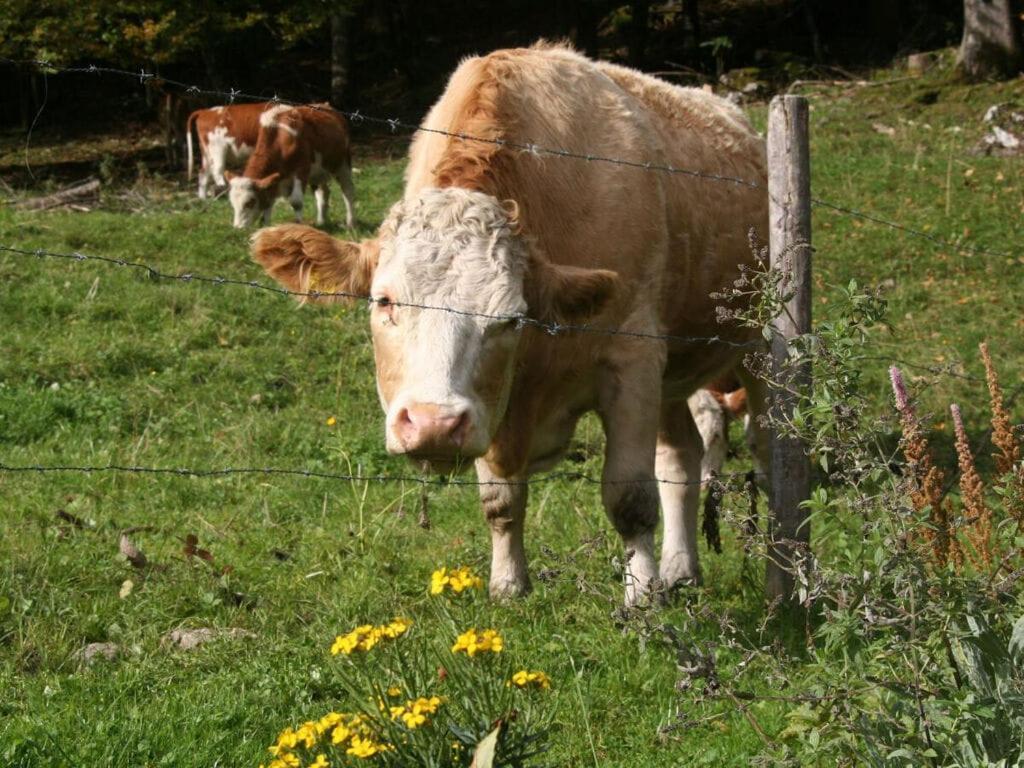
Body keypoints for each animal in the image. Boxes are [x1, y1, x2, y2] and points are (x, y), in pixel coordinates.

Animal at [225, 105, 356, 231]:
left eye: (250, 202)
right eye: (232, 203)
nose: (238, 228)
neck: (280, 138)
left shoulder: (301, 170)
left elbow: (296, 201)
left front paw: (298, 225)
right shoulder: (274, 179)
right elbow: (268, 202)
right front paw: (266, 227)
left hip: (343, 164)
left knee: (348, 190)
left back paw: (350, 223)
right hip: (318, 173)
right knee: (323, 192)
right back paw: (321, 221)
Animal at [247, 43, 765, 606]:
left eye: (510, 317)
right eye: (384, 301)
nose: (432, 423)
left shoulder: (633, 358)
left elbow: (629, 495)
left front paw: (642, 596)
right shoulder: (496, 405)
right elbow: (500, 498)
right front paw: (508, 584)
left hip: (759, 343)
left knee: (765, 447)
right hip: (674, 376)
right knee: (681, 456)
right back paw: (681, 568)